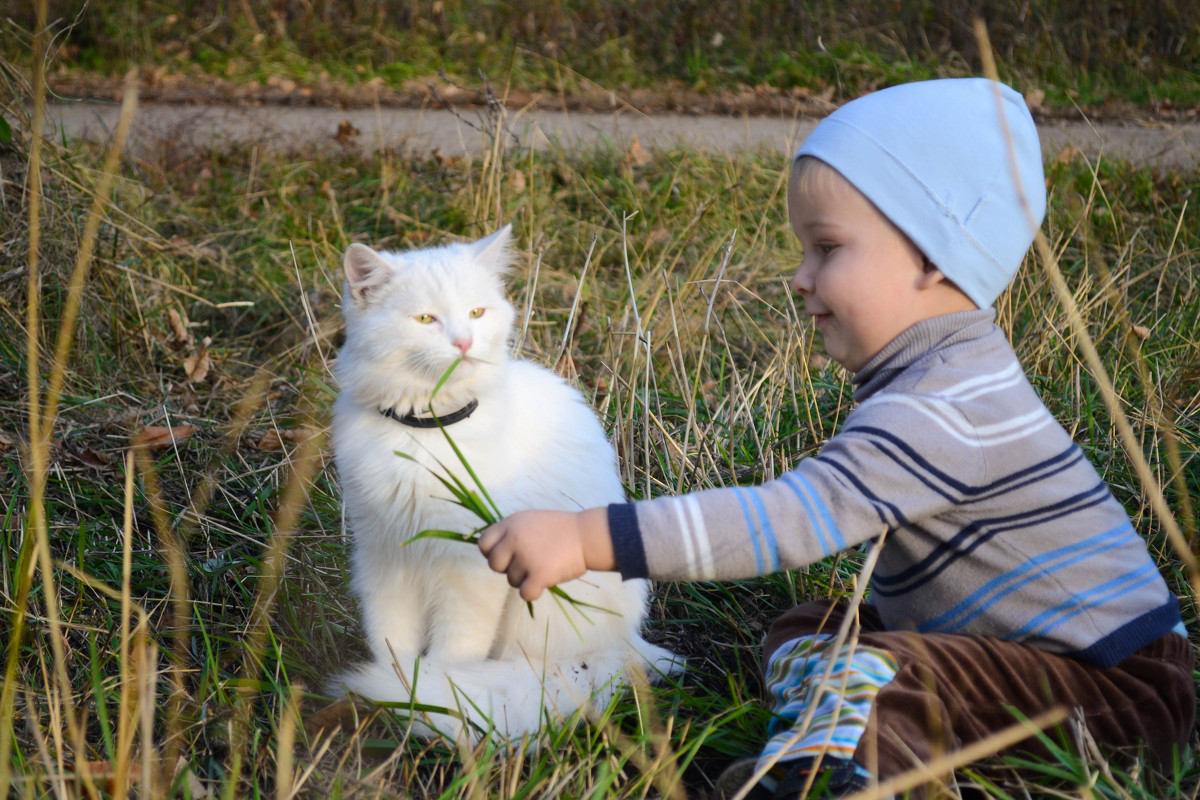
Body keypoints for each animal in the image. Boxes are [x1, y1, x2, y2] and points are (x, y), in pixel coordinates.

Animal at [328, 224, 686, 738]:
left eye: (477, 313)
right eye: (426, 319)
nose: (462, 343)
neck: (427, 432)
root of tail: (624, 645)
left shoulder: (471, 567)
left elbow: (453, 655)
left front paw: (431, 697)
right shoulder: (383, 554)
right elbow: (391, 641)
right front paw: (400, 687)